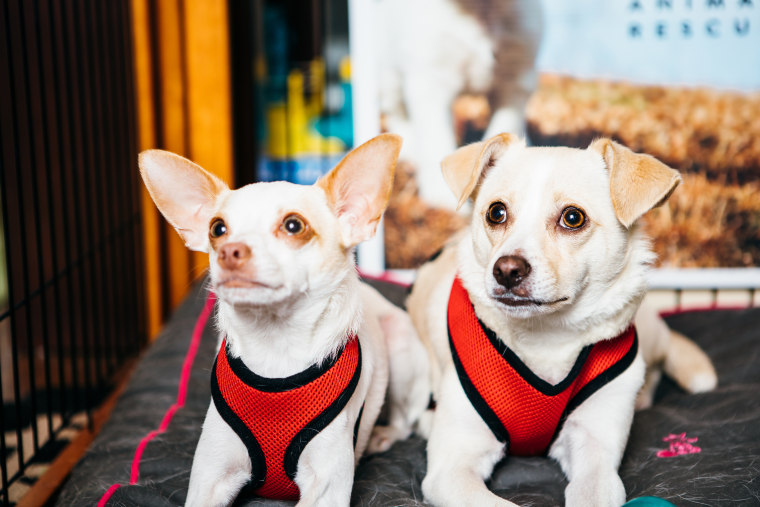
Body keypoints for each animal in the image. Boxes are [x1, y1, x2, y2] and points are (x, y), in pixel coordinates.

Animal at [140, 135, 430, 507]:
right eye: (217, 229)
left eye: (294, 225)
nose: (229, 250)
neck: (276, 347)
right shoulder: (210, 479)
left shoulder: (326, 489)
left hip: (401, 352)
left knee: (406, 420)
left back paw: (381, 435)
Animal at [406, 134, 716, 507]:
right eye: (496, 213)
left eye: (572, 217)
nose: (506, 269)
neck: (547, 337)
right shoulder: (453, 467)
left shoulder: (596, 456)